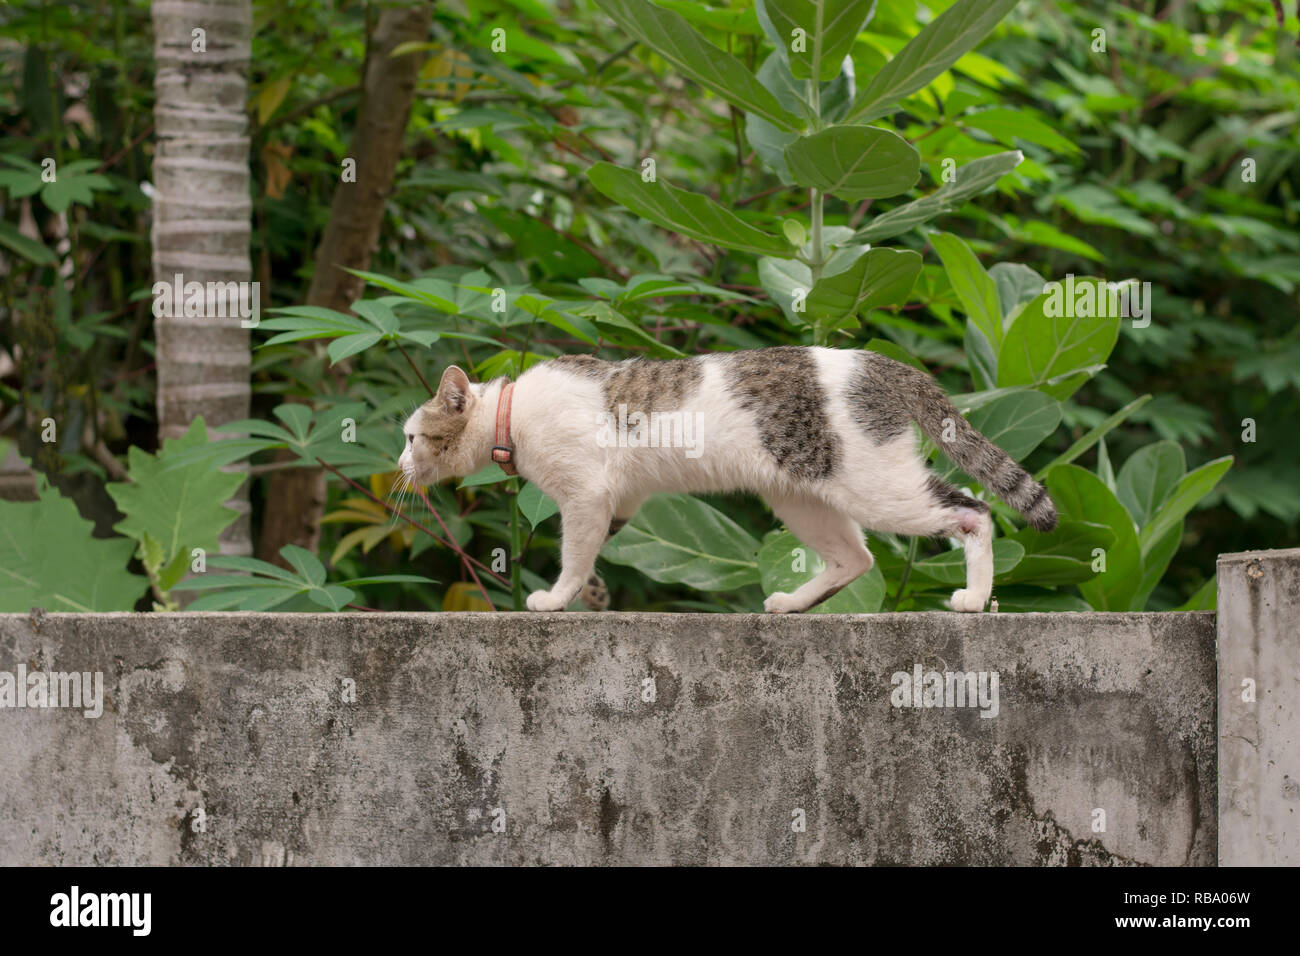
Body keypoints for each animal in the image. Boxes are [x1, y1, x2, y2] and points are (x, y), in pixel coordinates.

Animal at [400, 348, 1060, 613]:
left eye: (410, 437)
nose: (398, 466)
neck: (511, 411)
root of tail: (887, 365)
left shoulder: (586, 496)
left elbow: (572, 556)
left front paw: (555, 599)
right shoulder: (620, 501)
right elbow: (590, 557)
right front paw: (589, 596)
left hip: (876, 486)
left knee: (974, 510)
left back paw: (974, 598)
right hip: (800, 498)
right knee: (858, 559)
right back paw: (792, 603)